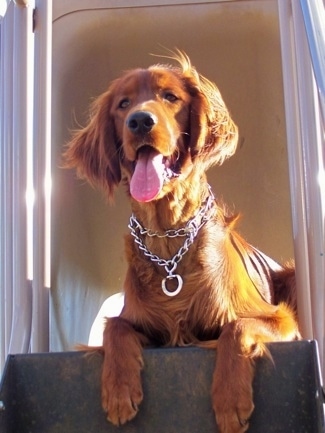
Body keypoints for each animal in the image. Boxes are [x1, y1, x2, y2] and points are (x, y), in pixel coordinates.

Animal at [63, 51, 298, 432]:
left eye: (170, 97)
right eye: (123, 104)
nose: (139, 121)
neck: (169, 242)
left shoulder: (279, 319)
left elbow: (236, 326)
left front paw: (230, 400)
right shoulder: (143, 322)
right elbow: (115, 326)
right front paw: (119, 390)